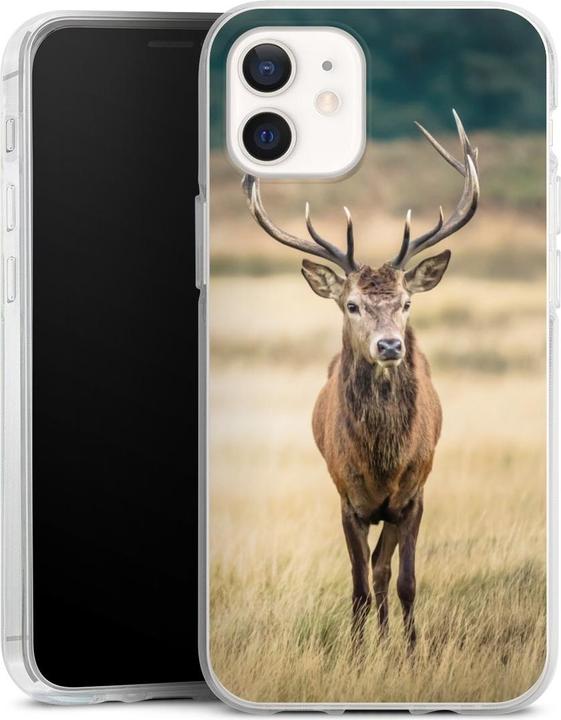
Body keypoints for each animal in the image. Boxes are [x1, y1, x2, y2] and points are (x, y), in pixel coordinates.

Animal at [241, 110, 479, 649]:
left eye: (407, 303)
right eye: (351, 305)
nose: (390, 345)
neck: (382, 463)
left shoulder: (413, 496)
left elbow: (404, 580)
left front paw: (410, 651)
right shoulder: (346, 499)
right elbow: (357, 587)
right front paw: (354, 652)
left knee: (383, 569)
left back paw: (390, 638)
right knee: (371, 572)